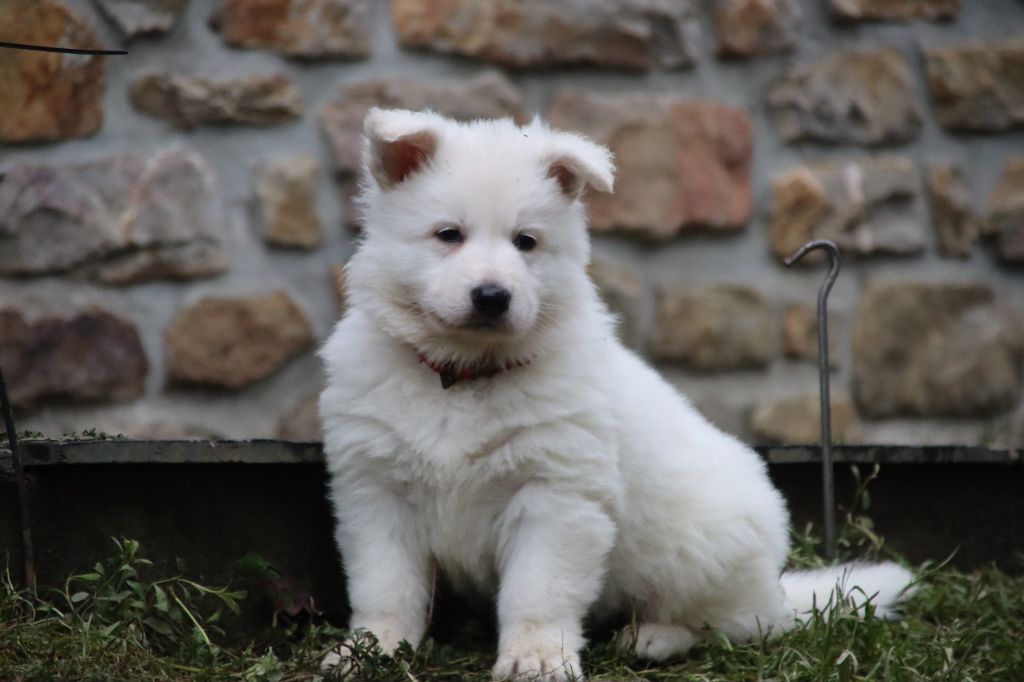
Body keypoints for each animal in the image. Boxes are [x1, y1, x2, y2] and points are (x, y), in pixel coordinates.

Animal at [319, 109, 913, 675]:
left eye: (526, 242)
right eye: (448, 235)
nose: (492, 296)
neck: (462, 374)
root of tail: (777, 588)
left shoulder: (556, 495)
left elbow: (538, 591)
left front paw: (536, 658)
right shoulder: (376, 490)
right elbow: (385, 587)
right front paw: (369, 650)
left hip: (700, 551)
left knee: (734, 625)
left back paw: (652, 637)